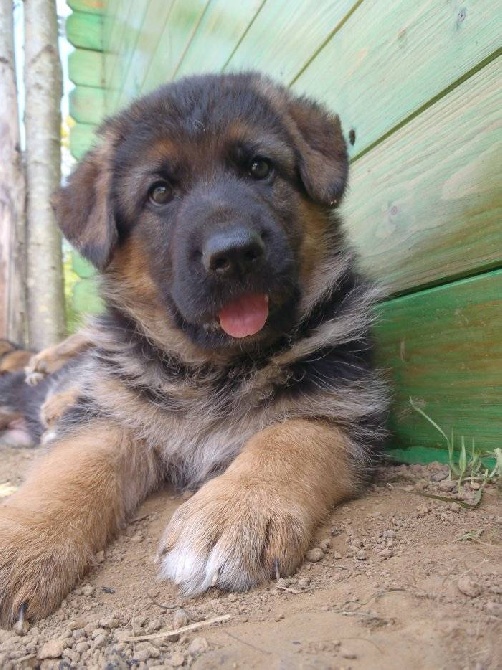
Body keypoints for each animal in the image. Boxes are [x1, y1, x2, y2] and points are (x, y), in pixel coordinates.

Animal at [0, 71, 388, 628]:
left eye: (259, 167)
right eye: (160, 193)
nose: (234, 253)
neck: (211, 369)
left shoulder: (343, 406)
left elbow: (287, 437)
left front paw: (234, 512)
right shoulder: (112, 416)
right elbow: (68, 472)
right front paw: (20, 542)